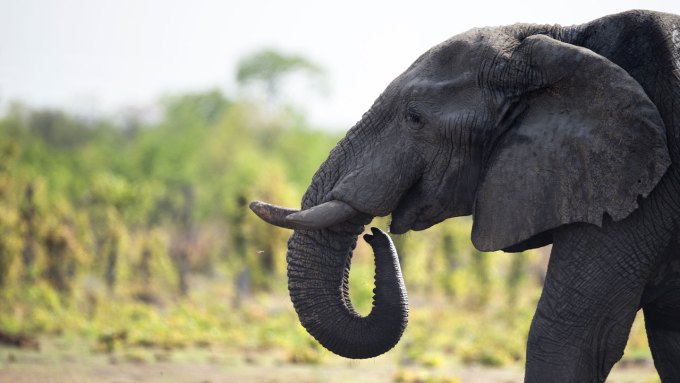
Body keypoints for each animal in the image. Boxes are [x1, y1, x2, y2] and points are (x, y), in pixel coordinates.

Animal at [250, 9, 680, 383]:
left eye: (415, 118)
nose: (375, 235)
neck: (561, 41)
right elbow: (666, 341)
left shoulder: (642, 182)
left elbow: (573, 334)